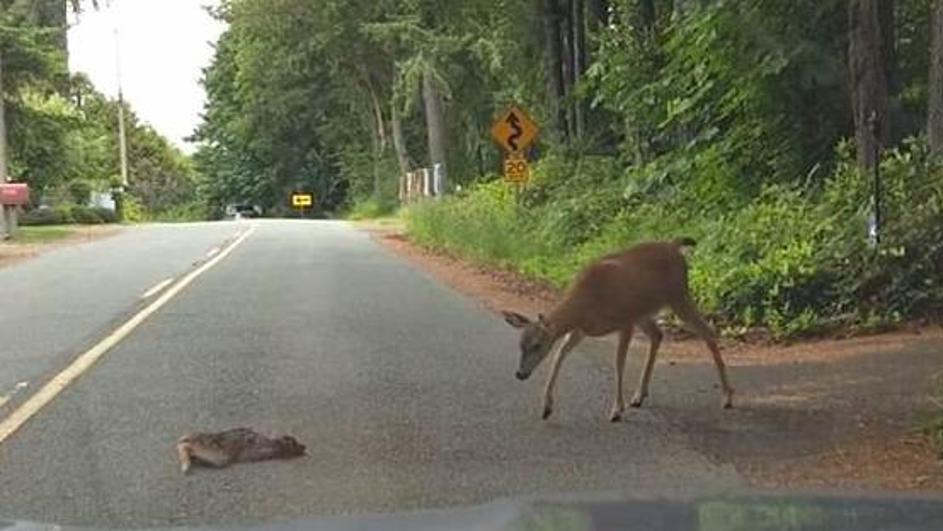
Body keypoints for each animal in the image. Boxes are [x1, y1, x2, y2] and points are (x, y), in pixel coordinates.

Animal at [506, 239, 732, 422]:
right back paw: (639, 396)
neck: (585, 304)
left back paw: (727, 397)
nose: (519, 374)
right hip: (644, 311)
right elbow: (559, 355)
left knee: (708, 333)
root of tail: (675, 245)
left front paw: (616, 410)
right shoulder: (581, 329)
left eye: (537, 345)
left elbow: (618, 362)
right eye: (520, 345)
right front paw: (546, 408)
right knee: (658, 335)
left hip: (678, 296)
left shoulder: (625, 321)